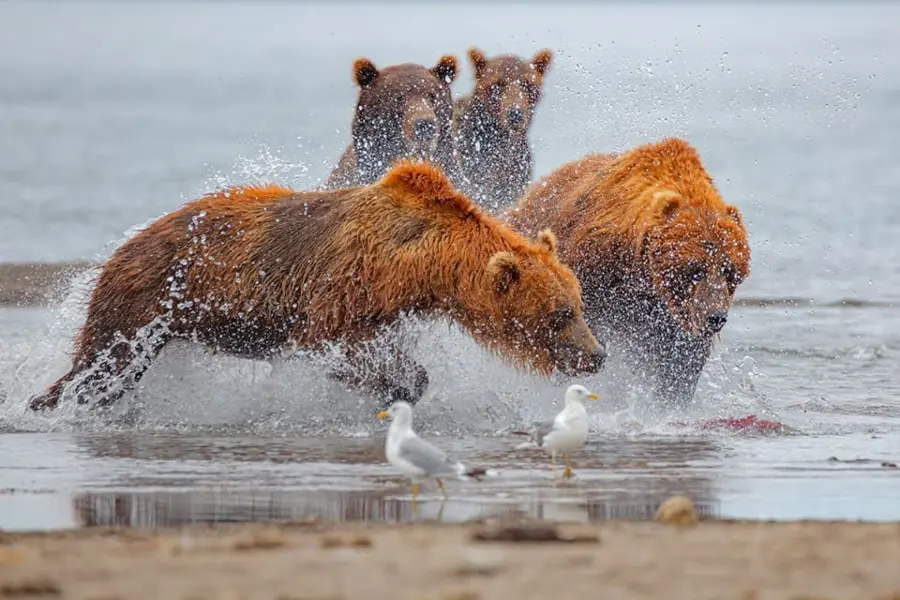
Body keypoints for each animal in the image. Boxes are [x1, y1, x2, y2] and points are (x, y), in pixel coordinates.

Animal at [29, 159, 604, 412]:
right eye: (560, 314)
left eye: (579, 304)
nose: (597, 355)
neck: (422, 264)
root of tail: (122, 246)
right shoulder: (344, 286)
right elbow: (331, 344)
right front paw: (395, 382)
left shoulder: (389, 305)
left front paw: (400, 381)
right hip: (146, 301)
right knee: (105, 362)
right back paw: (54, 401)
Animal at [506, 138, 752, 406]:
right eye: (695, 269)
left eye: (730, 271)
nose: (715, 317)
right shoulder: (594, 270)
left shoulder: (674, 315)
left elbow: (682, 360)